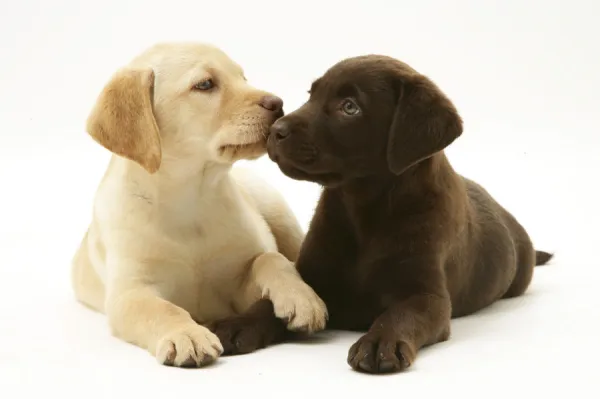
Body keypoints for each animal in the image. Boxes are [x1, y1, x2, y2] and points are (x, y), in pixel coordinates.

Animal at [72, 43, 330, 368]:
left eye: (242, 77)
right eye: (205, 84)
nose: (278, 103)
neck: (191, 197)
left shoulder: (237, 285)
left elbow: (270, 259)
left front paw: (301, 298)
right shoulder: (129, 294)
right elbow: (162, 309)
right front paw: (187, 334)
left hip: (276, 210)